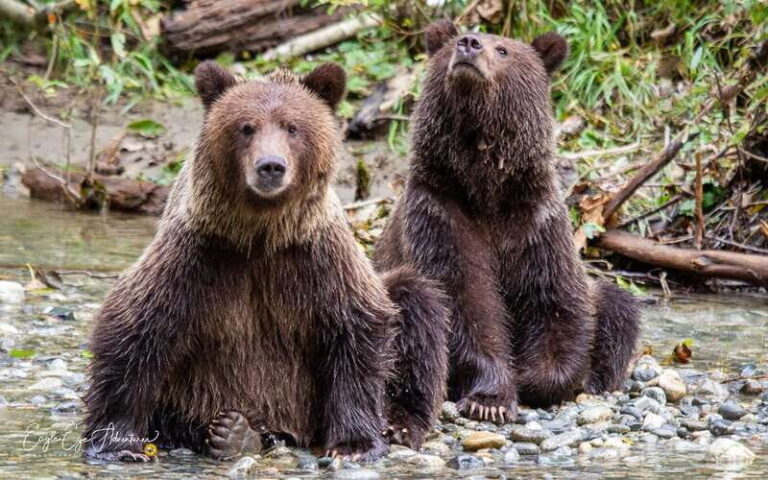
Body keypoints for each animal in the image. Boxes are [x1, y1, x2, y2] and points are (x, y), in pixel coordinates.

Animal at [82, 60, 449, 462]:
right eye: (246, 127)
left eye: (292, 127)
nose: (270, 166)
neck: (261, 233)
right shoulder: (200, 255)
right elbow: (137, 327)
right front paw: (117, 442)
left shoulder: (316, 257)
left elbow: (357, 327)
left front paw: (354, 443)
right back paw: (234, 432)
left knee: (416, 300)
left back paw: (397, 423)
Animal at [374, 21, 640, 421]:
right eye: (454, 41)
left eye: (503, 50)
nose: (469, 44)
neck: (487, 191)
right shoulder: (441, 215)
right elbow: (465, 299)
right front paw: (490, 399)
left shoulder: (535, 223)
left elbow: (555, 301)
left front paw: (536, 378)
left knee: (616, 304)